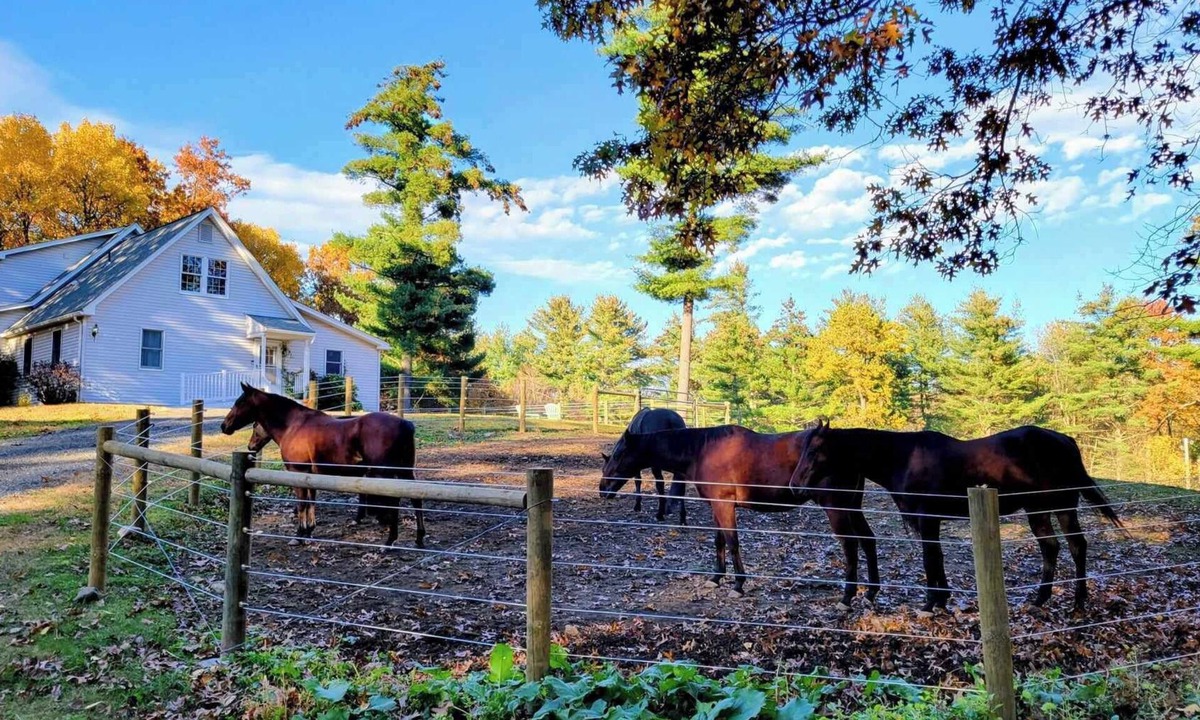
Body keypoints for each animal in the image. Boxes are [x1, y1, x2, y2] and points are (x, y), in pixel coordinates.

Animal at [220, 383, 425, 548]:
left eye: (239, 402)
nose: (224, 426)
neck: (293, 425)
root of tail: (406, 424)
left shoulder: (298, 472)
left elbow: (302, 504)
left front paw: (299, 535)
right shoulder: (310, 475)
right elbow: (311, 502)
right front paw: (309, 530)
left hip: (384, 473)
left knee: (394, 501)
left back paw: (390, 541)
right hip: (404, 472)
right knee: (415, 499)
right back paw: (418, 539)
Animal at [602, 425, 880, 604]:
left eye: (618, 454)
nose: (603, 488)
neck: (702, 449)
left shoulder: (725, 506)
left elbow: (733, 542)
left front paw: (738, 585)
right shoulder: (716, 506)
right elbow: (719, 542)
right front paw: (716, 579)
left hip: (837, 509)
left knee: (850, 545)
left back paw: (847, 596)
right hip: (853, 507)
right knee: (868, 541)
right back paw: (871, 593)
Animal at [789, 420, 1126, 613]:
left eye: (813, 450)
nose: (795, 486)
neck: (904, 458)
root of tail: (1066, 441)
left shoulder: (926, 518)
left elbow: (929, 558)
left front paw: (929, 603)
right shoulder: (931, 520)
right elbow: (936, 557)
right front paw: (942, 600)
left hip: (1060, 506)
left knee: (1075, 546)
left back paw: (1077, 603)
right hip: (1039, 510)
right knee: (1053, 548)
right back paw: (1041, 600)